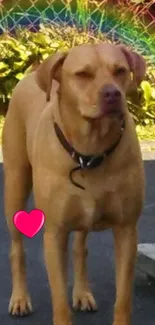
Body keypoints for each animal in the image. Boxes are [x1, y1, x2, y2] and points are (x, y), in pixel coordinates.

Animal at [2, 43, 145, 324]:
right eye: (82, 74)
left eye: (120, 70)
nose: (113, 94)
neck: (90, 150)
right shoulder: (54, 233)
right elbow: (59, 300)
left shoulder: (126, 230)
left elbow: (123, 299)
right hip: (15, 188)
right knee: (17, 249)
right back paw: (20, 298)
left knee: (80, 248)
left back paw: (82, 292)